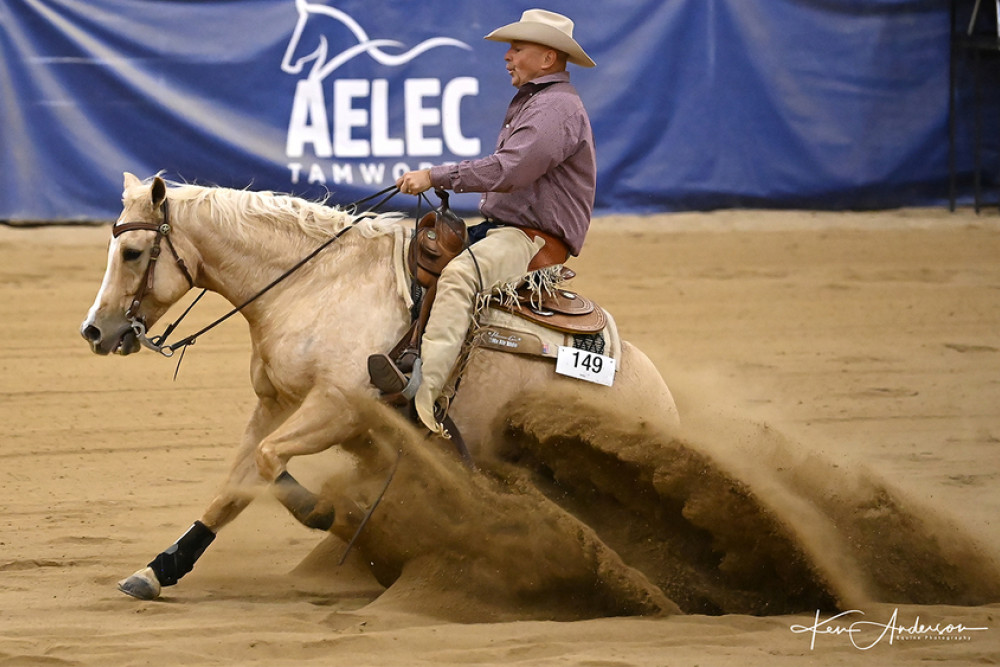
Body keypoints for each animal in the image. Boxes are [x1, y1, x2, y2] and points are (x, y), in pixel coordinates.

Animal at [80, 172, 680, 600]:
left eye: (132, 253)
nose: (94, 331)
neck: (316, 284)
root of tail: (659, 398)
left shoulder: (339, 407)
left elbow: (271, 460)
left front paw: (321, 512)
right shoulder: (275, 403)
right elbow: (234, 488)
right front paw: (159, 570)